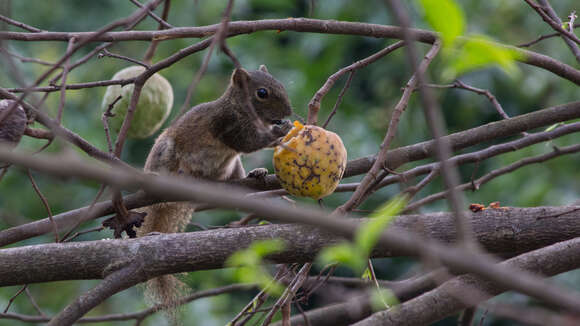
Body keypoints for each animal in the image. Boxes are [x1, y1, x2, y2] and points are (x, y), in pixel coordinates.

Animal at [134, 65, 292, 316]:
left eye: (281, 84)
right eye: (262, 93)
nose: (288, 111)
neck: (238, 107)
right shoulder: (227, 124)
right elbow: (248, 143)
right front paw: (281, 131)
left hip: (231, 165)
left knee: (235, 176)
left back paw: (255, 174)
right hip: (164, 153)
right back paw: (156, 177)